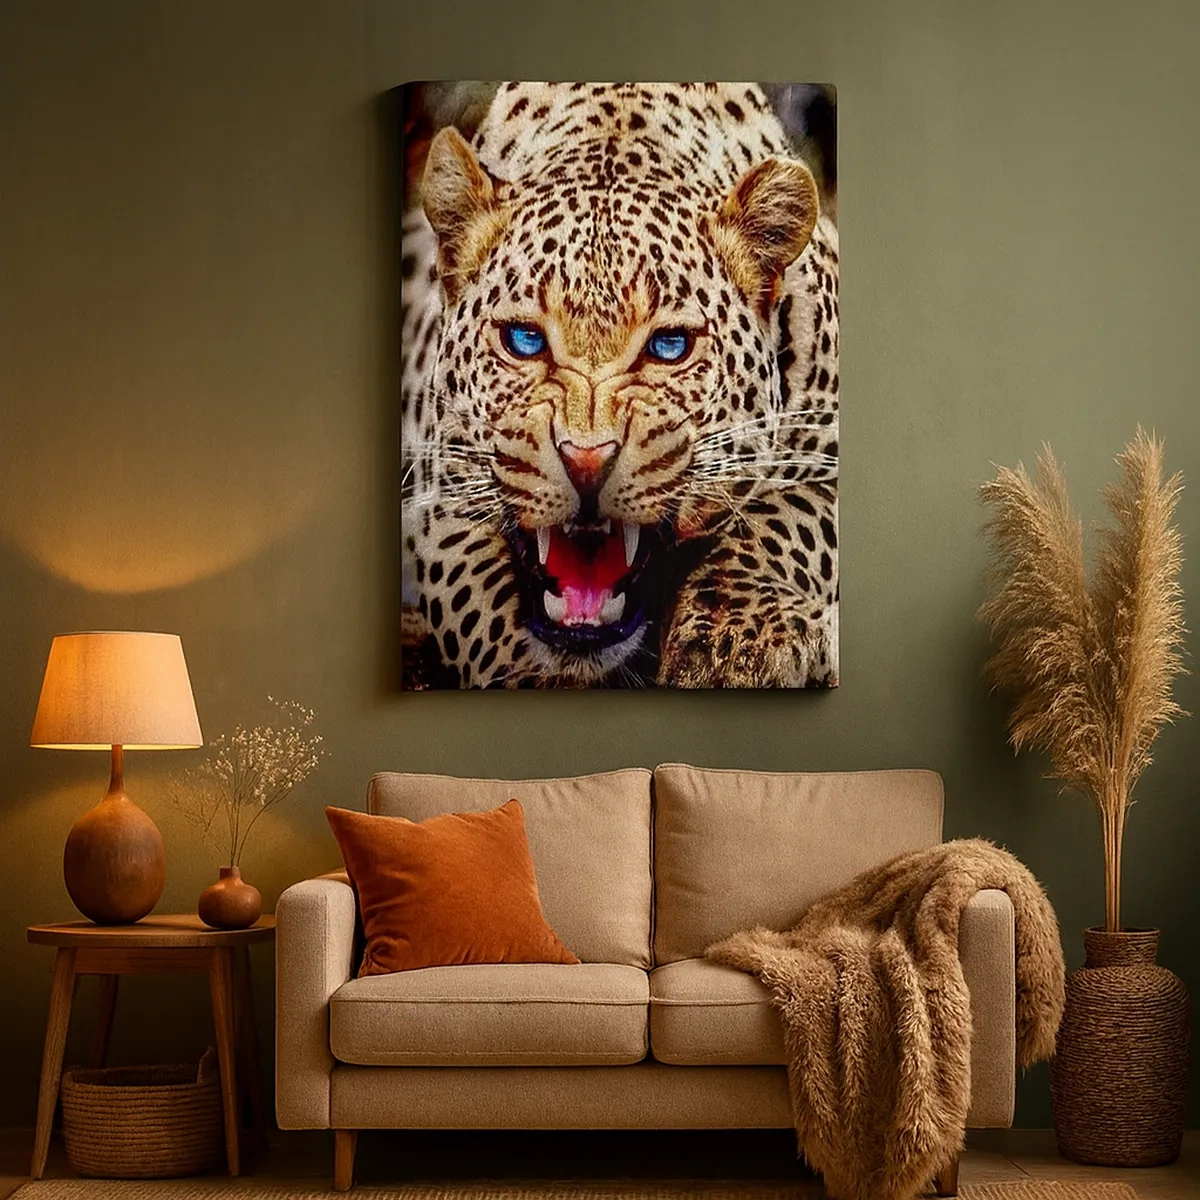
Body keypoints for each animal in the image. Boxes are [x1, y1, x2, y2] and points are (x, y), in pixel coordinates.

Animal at [401, 81, 839, 689]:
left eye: (669, 346)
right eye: (524, 340)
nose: (586, 461)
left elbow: (788, 520)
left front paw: (735, 638)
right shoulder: (437, 491)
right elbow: (482, 604)